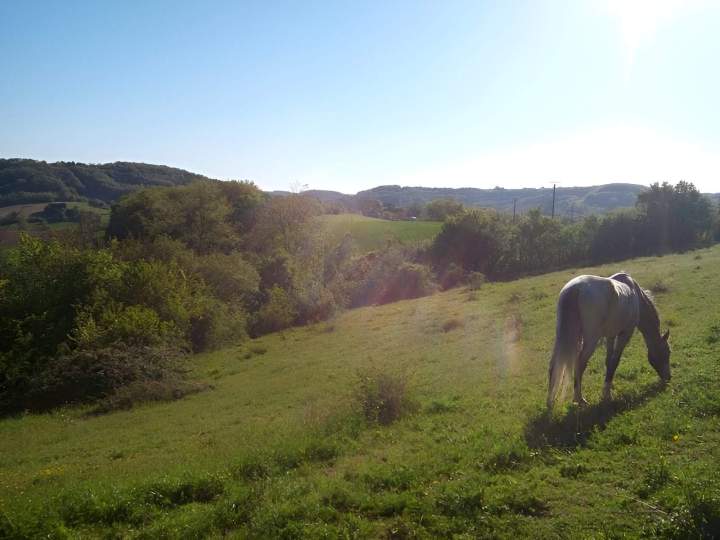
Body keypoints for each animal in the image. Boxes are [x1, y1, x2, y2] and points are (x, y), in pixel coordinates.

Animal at [547, 272, 671, 409]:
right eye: (667, 352)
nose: (668, 377)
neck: (636, 296)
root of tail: (574, 289)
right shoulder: (625, 334)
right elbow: (615, 361)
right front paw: (606, 394)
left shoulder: (610, 336)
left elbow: (608, 361)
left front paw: (607, 389)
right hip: (591, 340)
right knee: (580, 364)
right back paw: (580, 399)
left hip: (562, 336)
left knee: (553, 366)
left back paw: (550, 402)